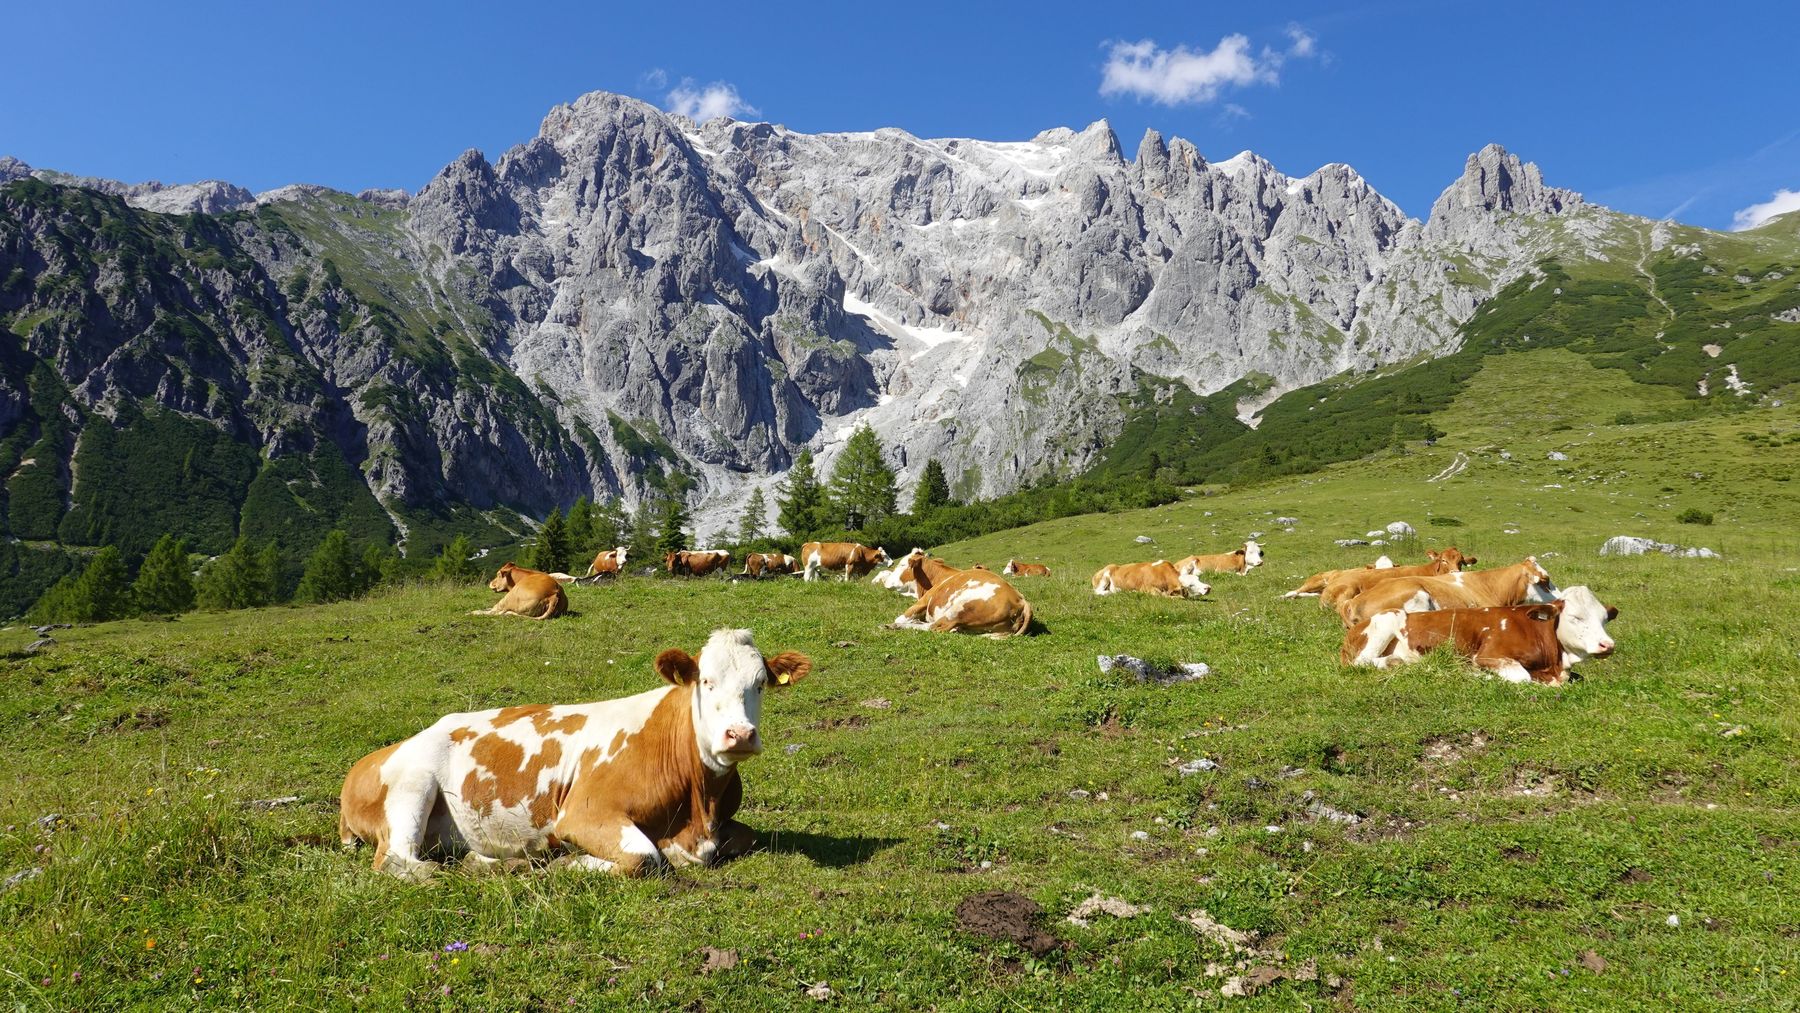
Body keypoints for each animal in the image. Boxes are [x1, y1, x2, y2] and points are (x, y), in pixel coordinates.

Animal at [339, 629, 812, 880]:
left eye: (760, 683)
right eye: (706, 682)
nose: (740, 734)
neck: (700, 807)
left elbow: (746, 838)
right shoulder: (584, 812)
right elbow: (645, 858)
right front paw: (568, 860)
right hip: (412, 785)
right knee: (400, 859)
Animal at [890, 561, 1032, 637]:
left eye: (902, 565)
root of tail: (1021, 601)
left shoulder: (923, 601)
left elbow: (900, 617)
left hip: (958, 610)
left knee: (935, 627)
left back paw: (896, 626)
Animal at [1341, 586, 1617, 685]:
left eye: (1604, 618)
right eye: (1575, 617)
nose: (1608, 645)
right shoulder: (1488, 655)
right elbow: (1522, 677)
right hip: (1390, 617)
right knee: (1362, 662)